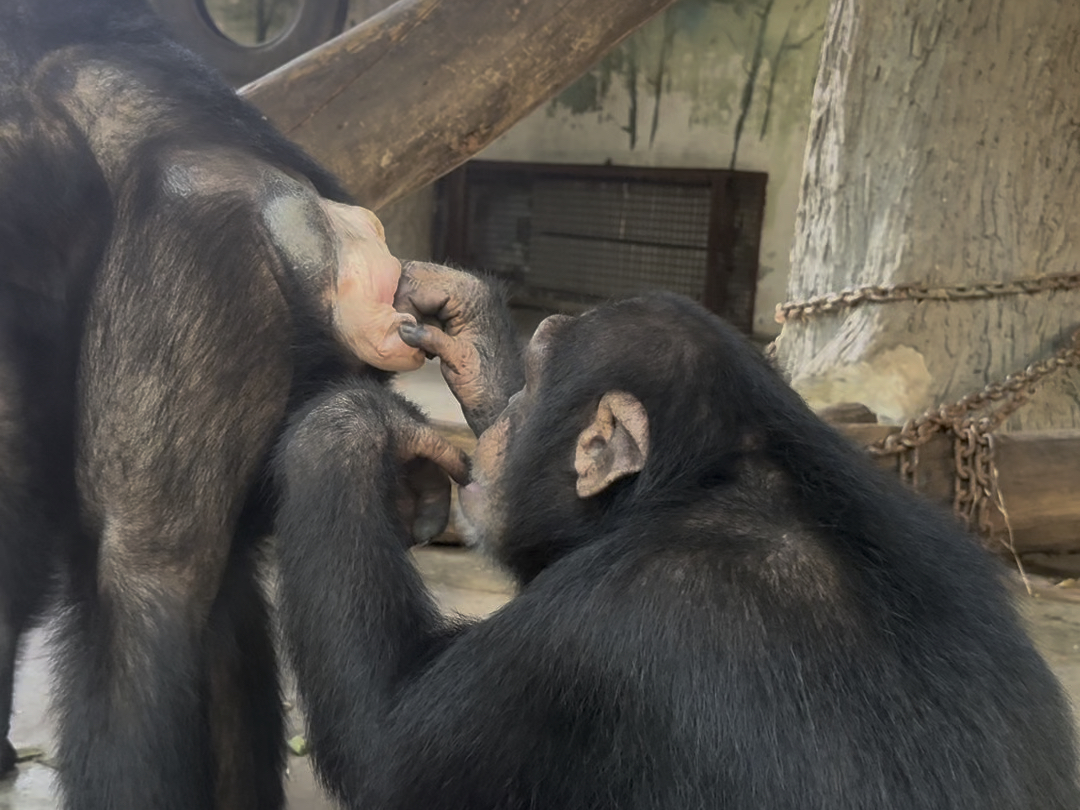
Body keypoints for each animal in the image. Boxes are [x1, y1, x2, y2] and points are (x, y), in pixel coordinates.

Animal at [274, 274, 1080, 810]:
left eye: (533, 385)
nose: (503, 416)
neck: (696, 483)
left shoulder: (588, 636)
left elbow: (385, 750)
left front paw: (358, 422)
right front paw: (467, 332)